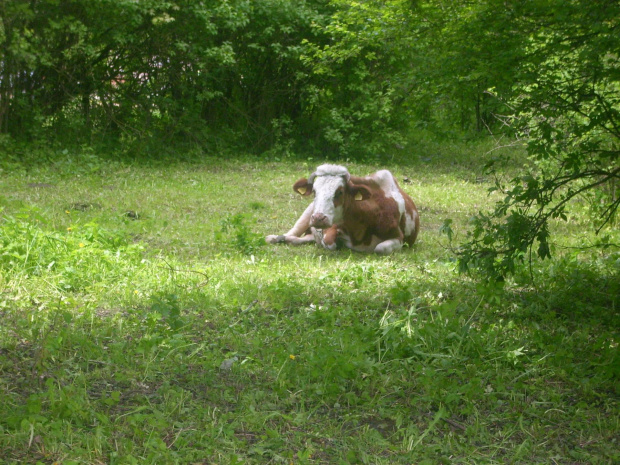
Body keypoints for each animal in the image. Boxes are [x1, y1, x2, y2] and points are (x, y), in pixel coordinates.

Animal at [266, 164, 422, 254]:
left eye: (340, 192)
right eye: (315, 191)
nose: (318, 218)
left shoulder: (399, 238)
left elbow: (380, 248)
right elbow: (329, 242)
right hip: (308, 213)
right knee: (293, 232)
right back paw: (275, 238)